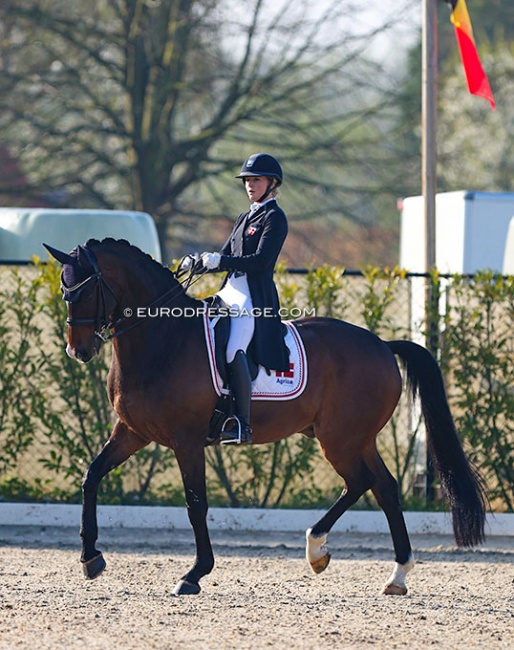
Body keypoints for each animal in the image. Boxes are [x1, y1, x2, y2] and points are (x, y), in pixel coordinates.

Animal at [43, 238, 484, 592]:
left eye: (85, 290)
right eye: (64, 290)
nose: (78, 351)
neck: (162, 342)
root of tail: (381, 344)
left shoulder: (187, 441)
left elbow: (195, 503)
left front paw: (194, 574)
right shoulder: (132, 432)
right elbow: (91, 477)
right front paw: (90, 557)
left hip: (341, 439)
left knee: (362, 482)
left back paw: (318, 550)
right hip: (355, 438)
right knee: (385, 488)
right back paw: (394, 575)